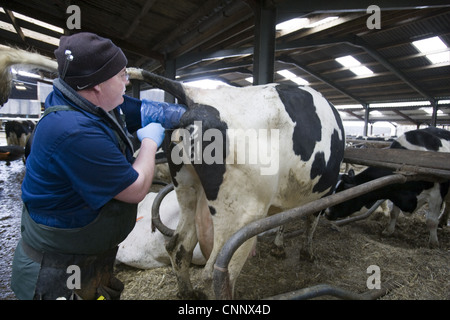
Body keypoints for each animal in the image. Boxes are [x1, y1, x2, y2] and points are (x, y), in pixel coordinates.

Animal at [126, 68, 344, 300]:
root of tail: (195, 95)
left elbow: (285, 219)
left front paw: (279, 247)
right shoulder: (323, 193)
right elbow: (310, 222)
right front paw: (307, 253)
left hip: (187, 192)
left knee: (178, 247)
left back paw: (188, 293)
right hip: (241, 214)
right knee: (218, 273)